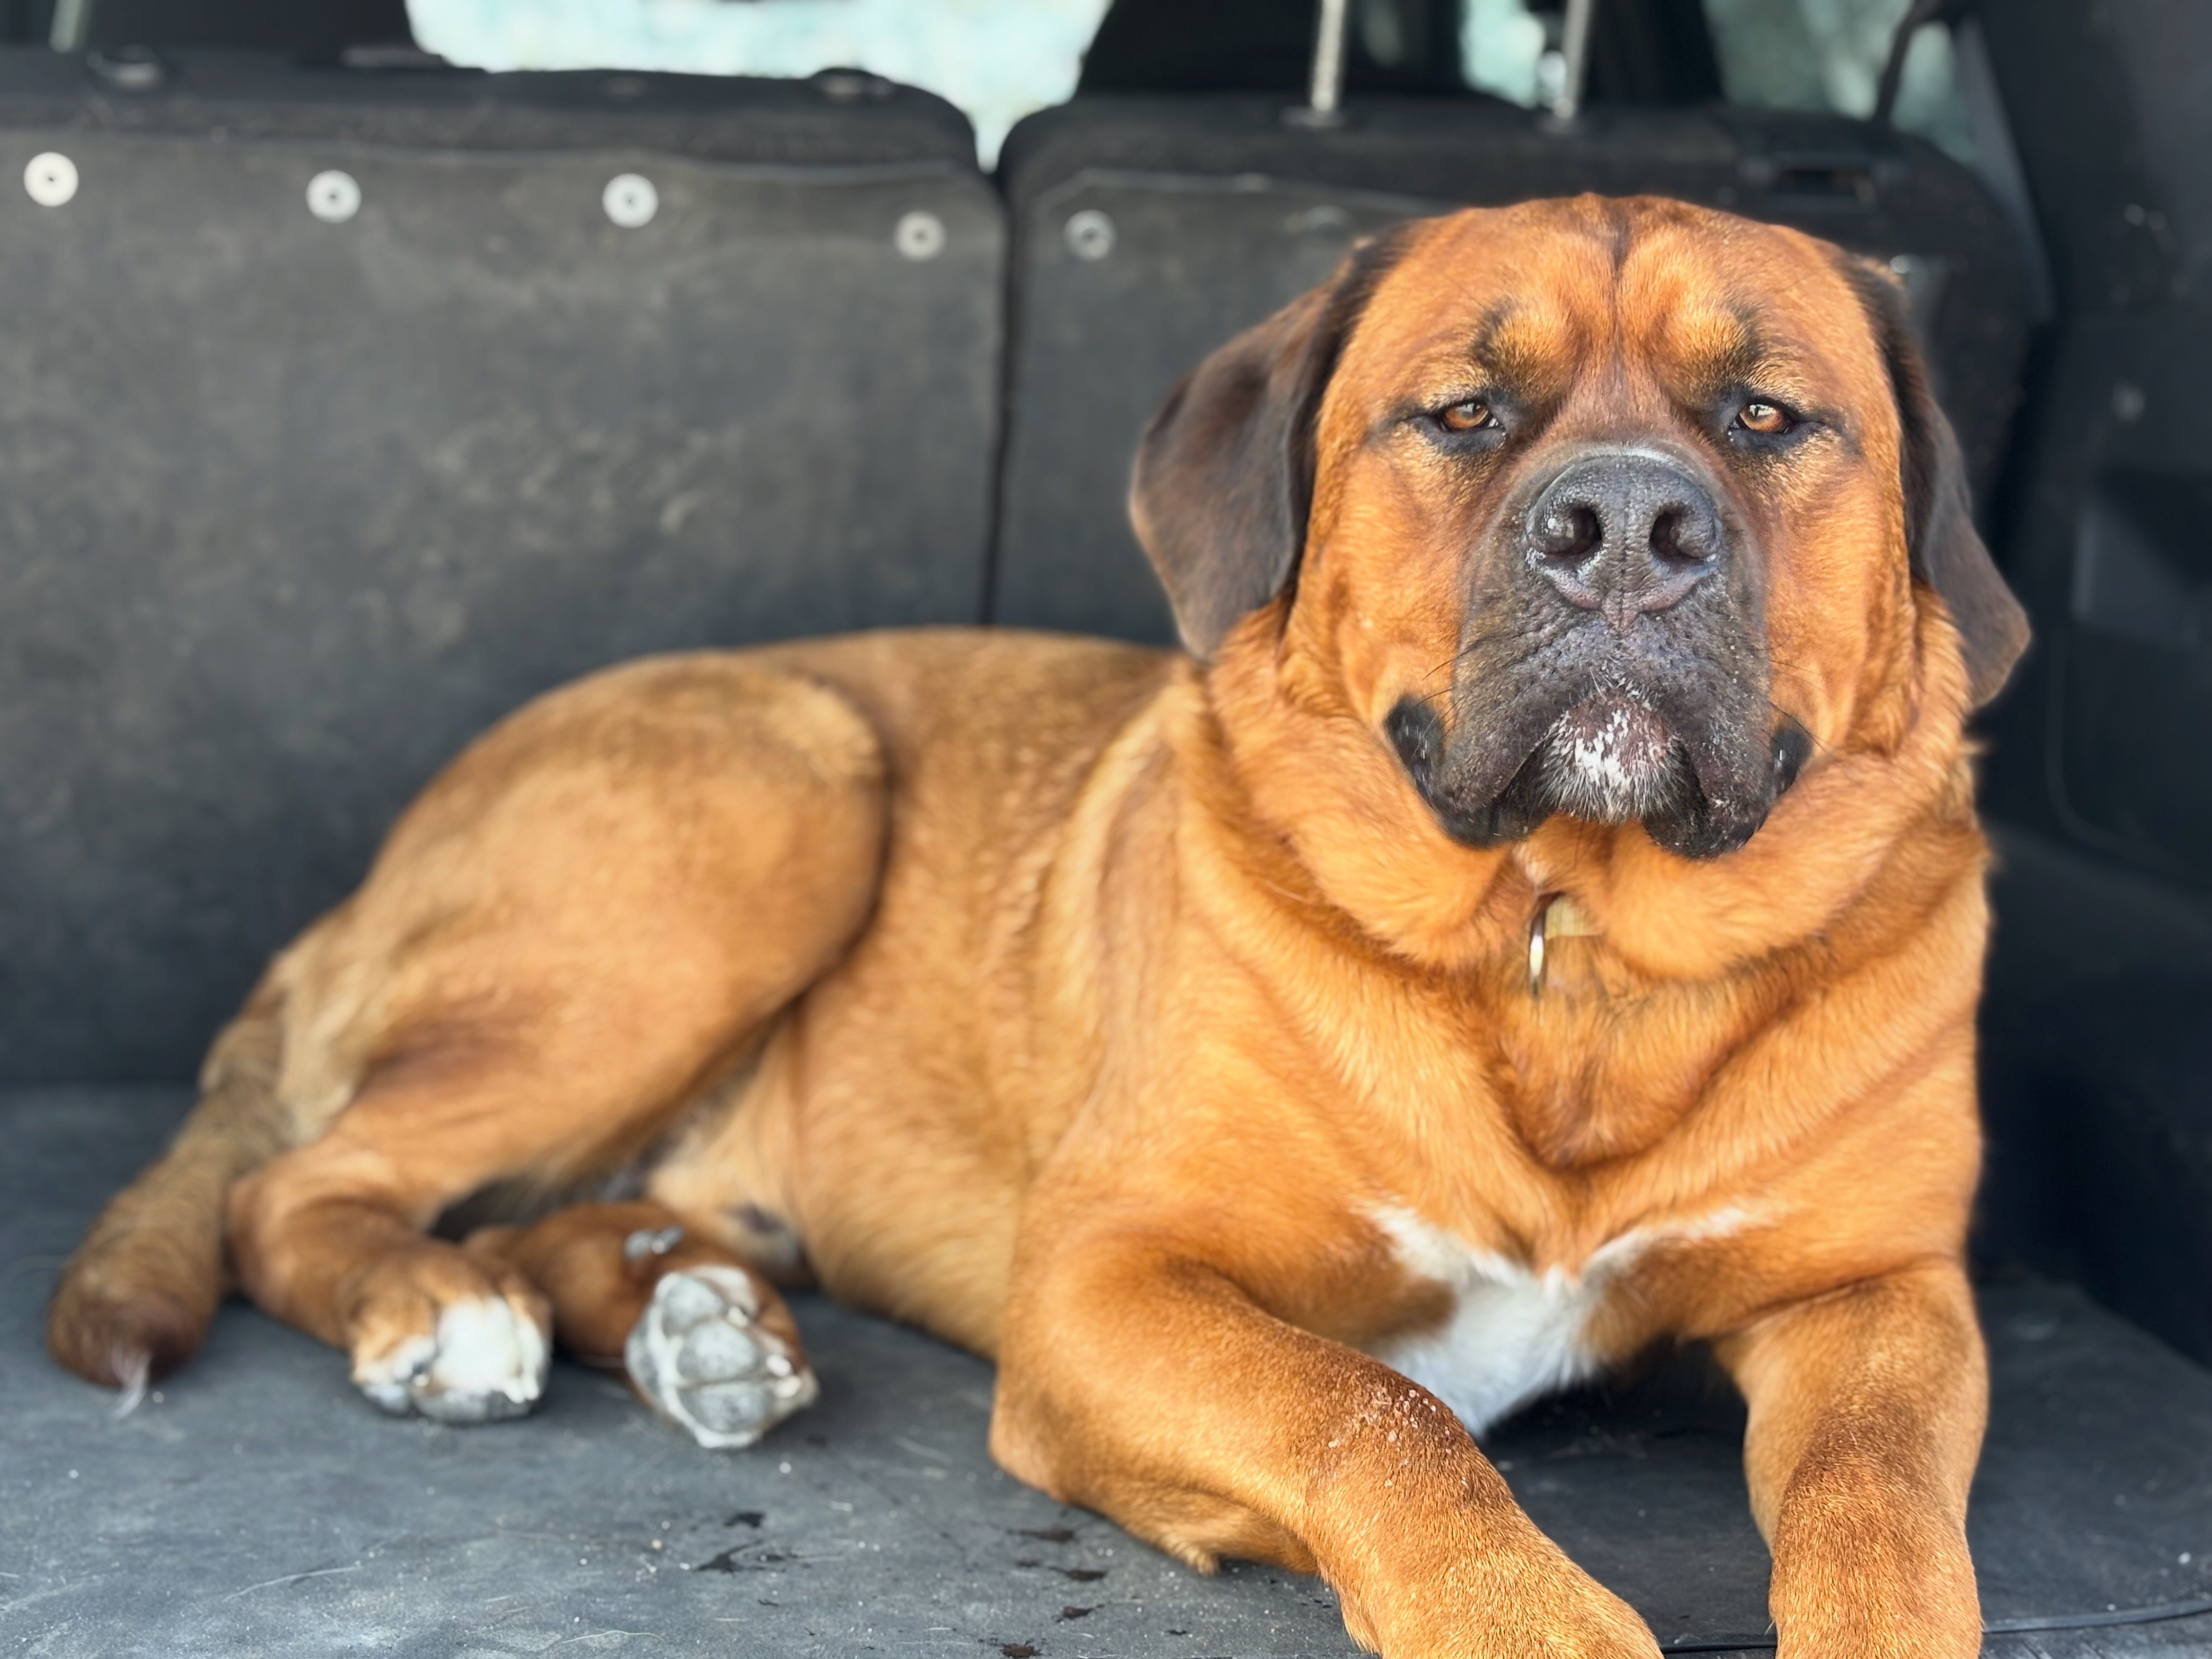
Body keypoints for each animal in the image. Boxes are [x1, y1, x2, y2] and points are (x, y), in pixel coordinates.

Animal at [51, 195, 2028, 1657]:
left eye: (1766, 417)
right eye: (1465, 414)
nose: (1624, 519)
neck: (1570, 942)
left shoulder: (1882, 1299)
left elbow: (1875, 1500)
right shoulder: (1105, 1284)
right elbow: (1376, 1418)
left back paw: (692, 1313)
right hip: (776, 804)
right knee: (295, 1188)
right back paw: (439, 1309)